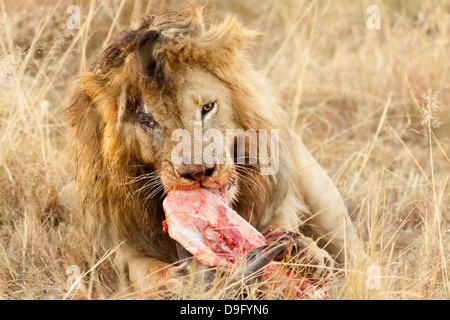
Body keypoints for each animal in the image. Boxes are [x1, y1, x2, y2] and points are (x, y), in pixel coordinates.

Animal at [64, 6, 358, 292]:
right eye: (147, 121)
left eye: (207, 108)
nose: (198, 172)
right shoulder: (117, 243)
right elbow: (142, 269)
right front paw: (174, 285)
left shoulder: (279, 202)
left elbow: (280, 222)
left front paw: (306, 255)